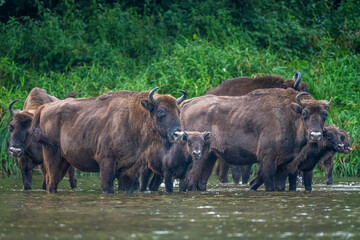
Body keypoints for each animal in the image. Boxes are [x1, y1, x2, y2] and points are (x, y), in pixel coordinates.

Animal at [31, 87, 186, 194]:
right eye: (161, 111)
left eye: (178, 111)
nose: (178, 134)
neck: (132, 118)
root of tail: (45, 108)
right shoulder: (106, 163)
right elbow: (107, 187)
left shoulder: (126, 169)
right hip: (52, 155)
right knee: (51, 182)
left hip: (65, 161)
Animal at [181, 88, 334, 191]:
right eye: (304, 113)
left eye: (324, 114)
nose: (315, 135)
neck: (289, 116)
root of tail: (186, 105)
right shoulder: (268, 160)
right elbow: (268, 185)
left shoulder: (283, 164)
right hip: (200, 156)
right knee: (192, 181)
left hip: (210, 156)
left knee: (201, 182)